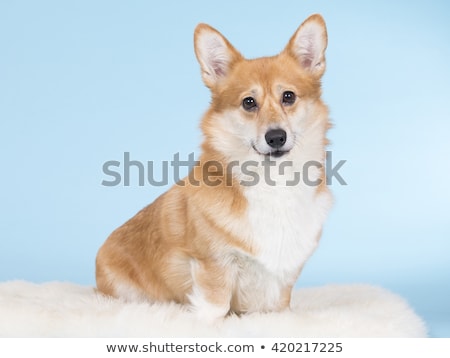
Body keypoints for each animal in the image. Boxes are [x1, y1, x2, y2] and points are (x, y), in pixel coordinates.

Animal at [96, 13, 334, 322]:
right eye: (249, 102)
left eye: (289, 96)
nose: (276, 137)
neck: (273, 181)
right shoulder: (214, 263)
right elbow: (216, 307)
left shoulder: (284, 274)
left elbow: (279, 307)